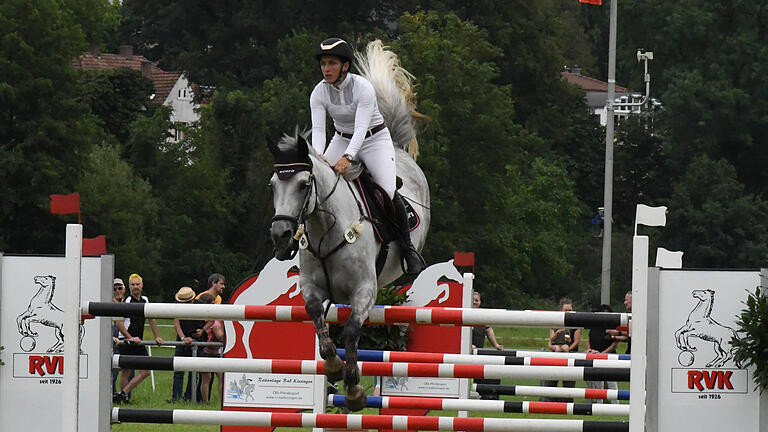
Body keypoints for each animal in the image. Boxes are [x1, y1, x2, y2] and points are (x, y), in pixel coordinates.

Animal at [268, 40, 428, 412]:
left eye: (303, 185)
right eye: (272, 186)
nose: (281, 237)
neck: (326, 230)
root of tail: (399, 150)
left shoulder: (364, 291)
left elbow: (353, 332)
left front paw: (354, 390)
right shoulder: (313, 288)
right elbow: (318, 319)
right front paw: (332, 365)